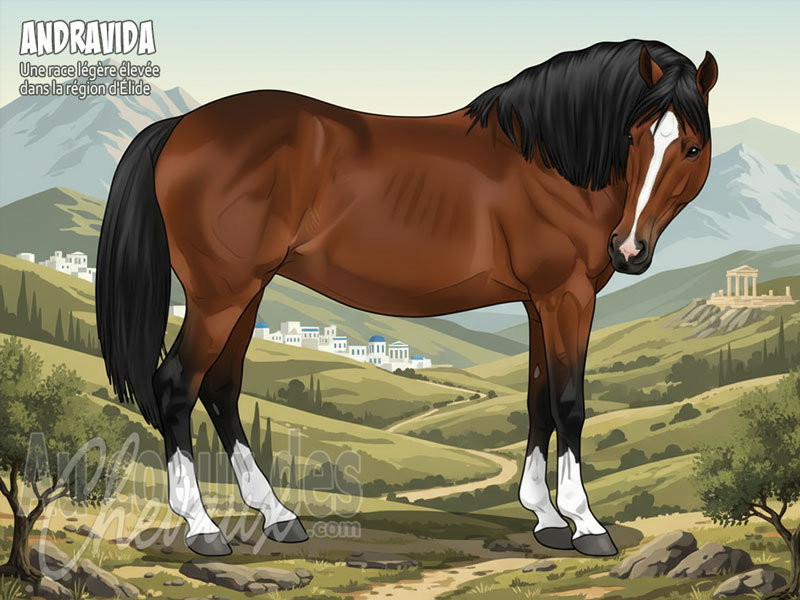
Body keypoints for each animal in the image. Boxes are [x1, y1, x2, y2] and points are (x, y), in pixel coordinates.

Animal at [96, 39, 717, 557]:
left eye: (690, 147)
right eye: (633, 138)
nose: (628, 248)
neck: (549, 159)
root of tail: (180, 126)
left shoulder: (540, 301)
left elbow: (539, 398)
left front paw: (544, 517)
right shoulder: (567, 296)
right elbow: (569, 403)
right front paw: (585, 524)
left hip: (245, 293)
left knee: (221, 388)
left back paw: (277, 515)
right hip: (220, 295)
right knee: (177, 386)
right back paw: (202, 528)